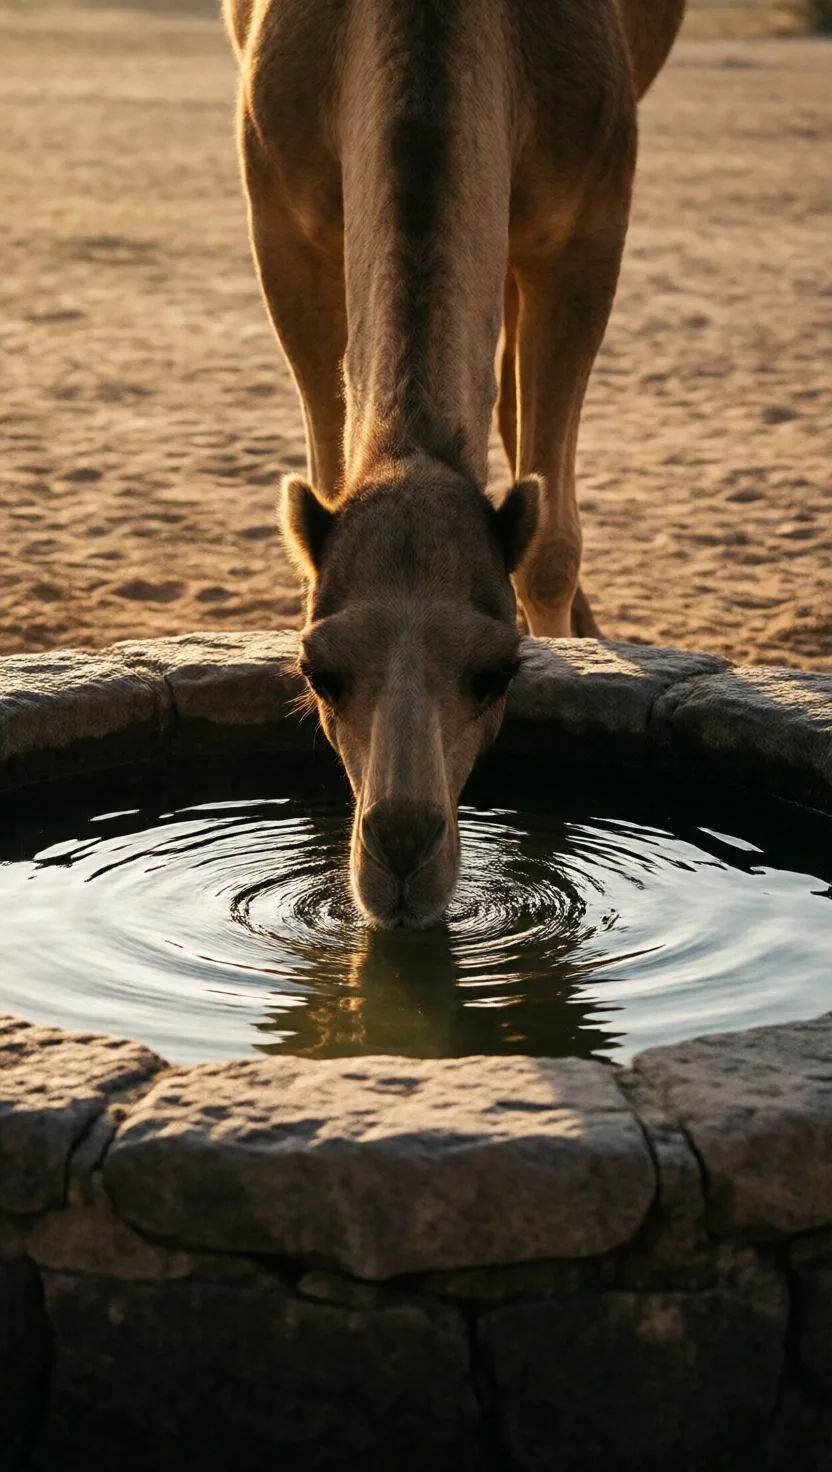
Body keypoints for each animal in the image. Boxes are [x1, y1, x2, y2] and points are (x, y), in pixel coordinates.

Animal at [224, 0, 685, 928]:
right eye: (316, 671)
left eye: (497, 671)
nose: (401, 846)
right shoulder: (279, 221)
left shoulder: (589, 222)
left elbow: (549, 544)